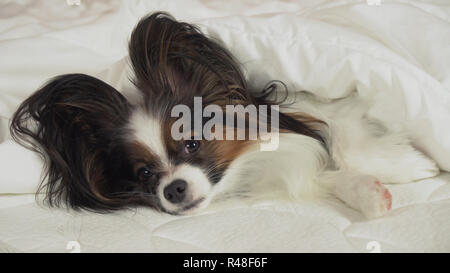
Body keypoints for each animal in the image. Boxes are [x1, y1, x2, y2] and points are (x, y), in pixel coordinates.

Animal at [10, 12, 440, 218]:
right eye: (144, 174)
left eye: (191, 143)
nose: (173, 190)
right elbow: (327, 175)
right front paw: (370, 195)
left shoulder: (328, 104)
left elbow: (348, 144)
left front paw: (413, 166)